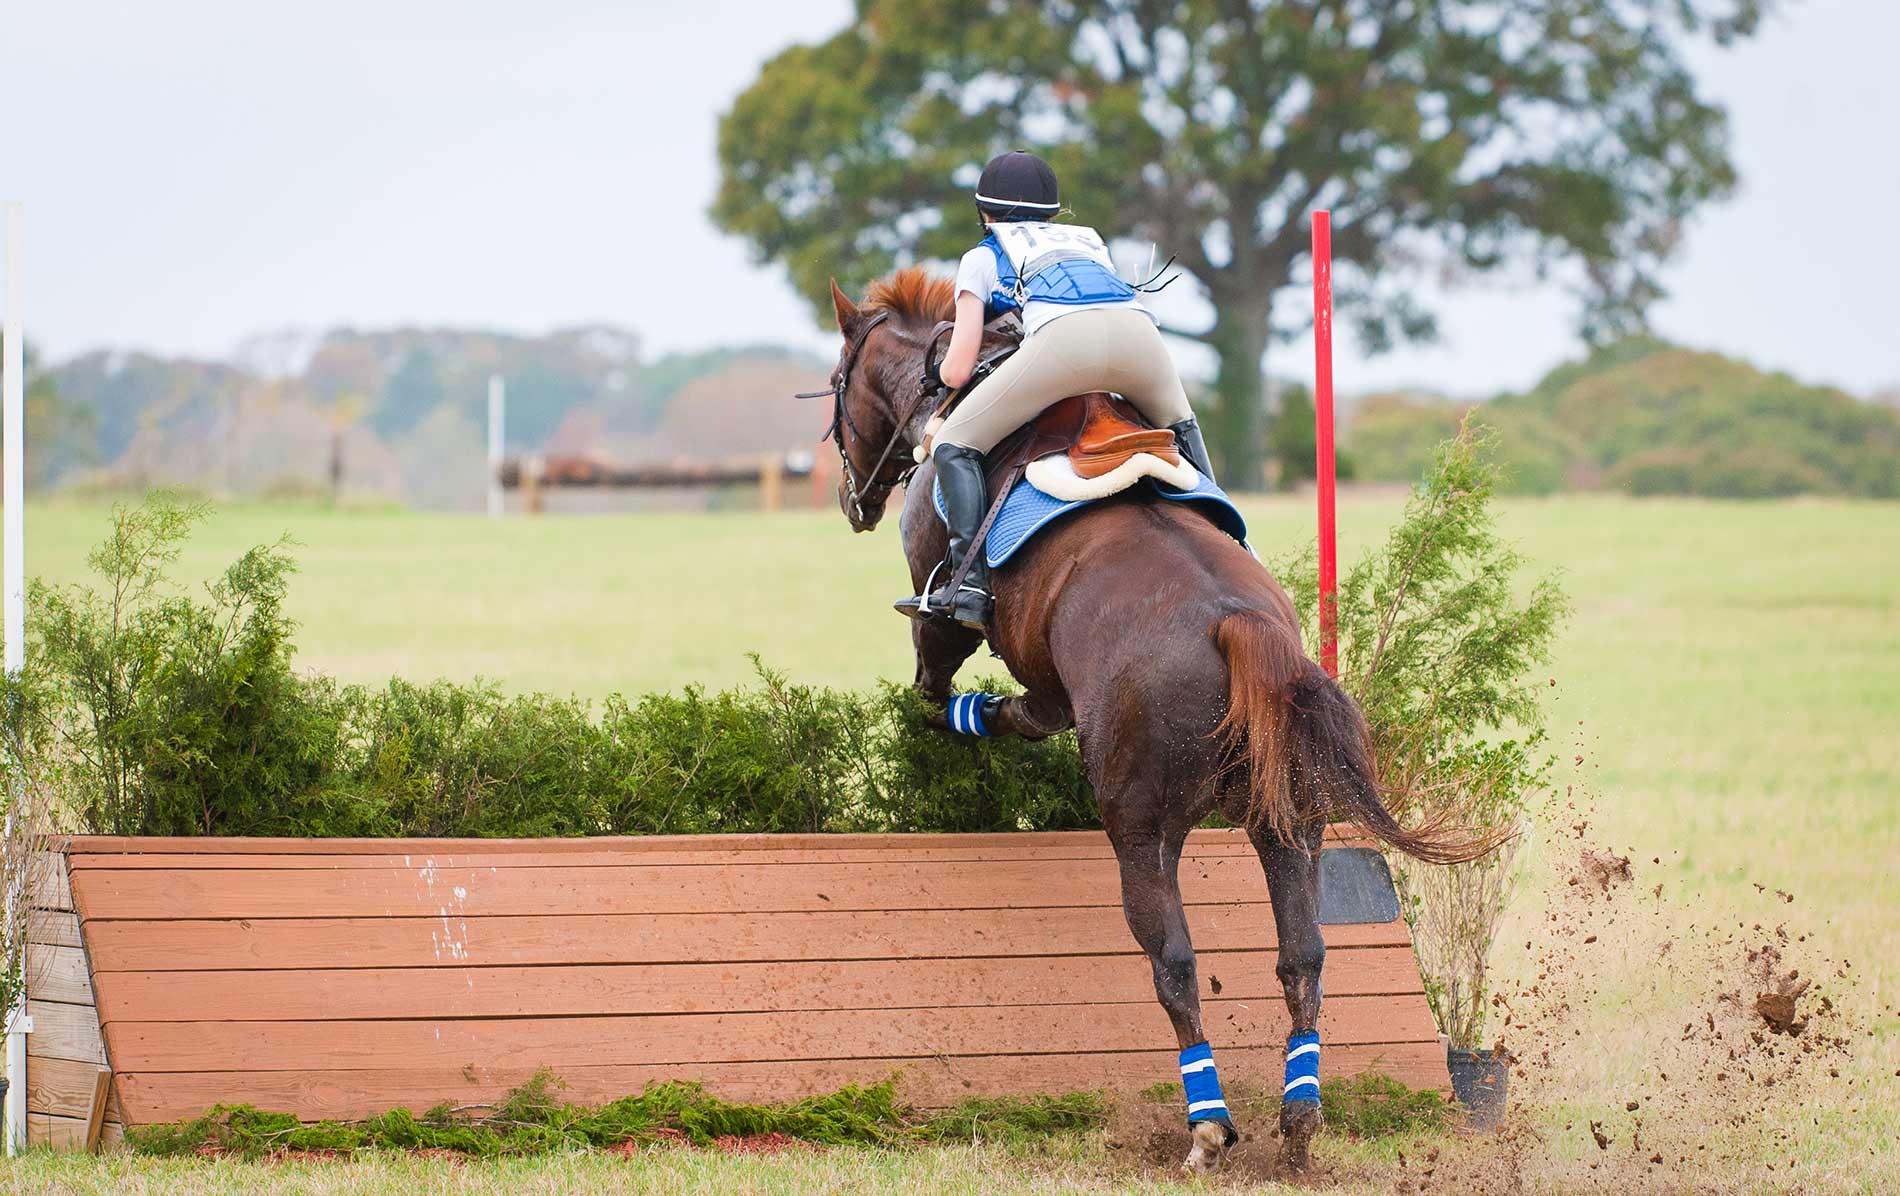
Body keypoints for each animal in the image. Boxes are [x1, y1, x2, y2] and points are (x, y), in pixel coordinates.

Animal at [813, 266, 1466, 1171]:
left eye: (838, 385)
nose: (854, 501)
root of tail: (1236, 621)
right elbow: (1029, 708)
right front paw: (998, 714)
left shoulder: (940, 609)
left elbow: (931, 678)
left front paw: (953, 721)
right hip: (1289, 821)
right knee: (1301, 956)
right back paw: (1298, 1121)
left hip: (1141, 824)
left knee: (1175, 961)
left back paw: (1208, 1129)